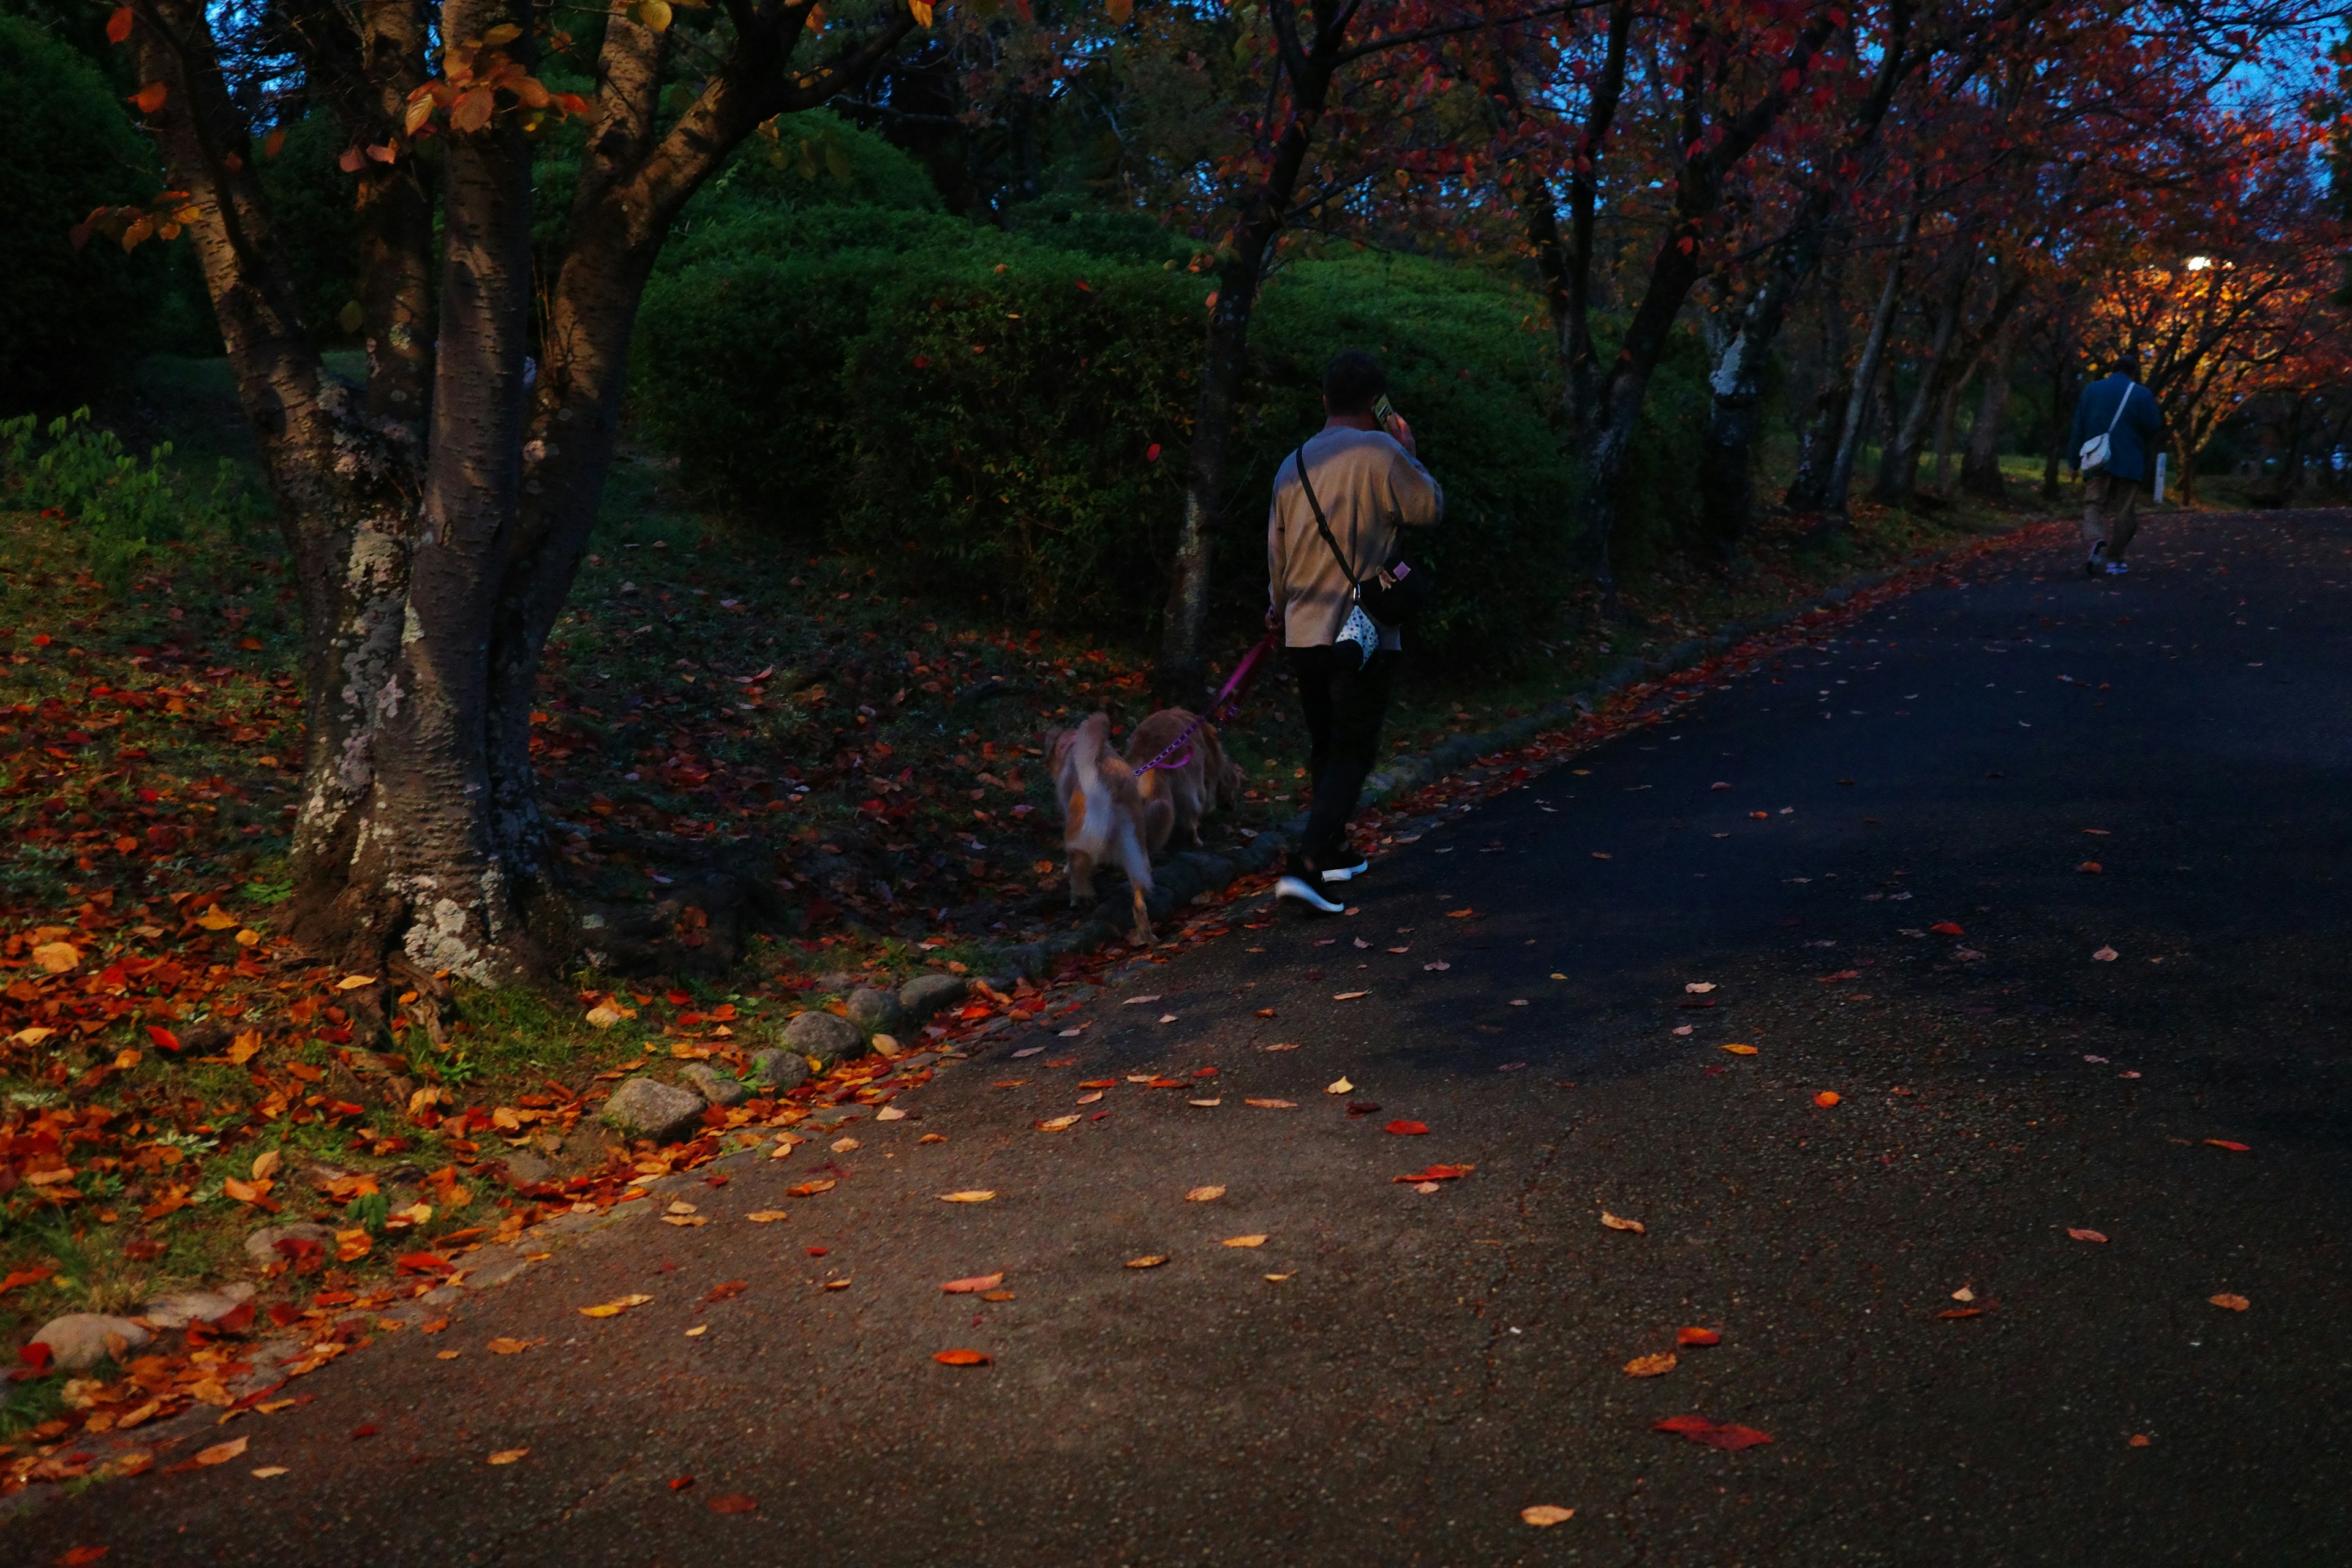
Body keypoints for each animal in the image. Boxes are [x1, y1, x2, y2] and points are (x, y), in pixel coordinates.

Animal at [1049, 710, 1166, 944]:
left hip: (1078, 838)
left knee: (1079, 873)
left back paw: (1080, 898)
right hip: (1136, 853)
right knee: (1139, 902)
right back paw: (1147, 937)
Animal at [1124, 710, 1251, 860]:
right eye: (1236, 790)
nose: (1234, 809)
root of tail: (1152, 748)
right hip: (1193, 787)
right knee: (1190, 819)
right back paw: (1196, 841)